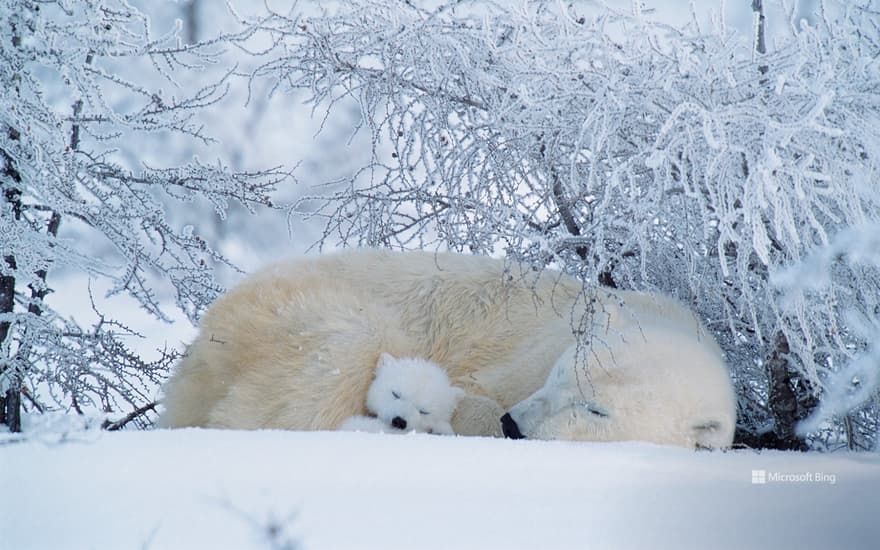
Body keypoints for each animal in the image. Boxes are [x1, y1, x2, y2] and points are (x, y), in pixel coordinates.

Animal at [158, 250, 736, 452]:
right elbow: (470, 391)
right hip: (292, 310)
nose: (514, 425)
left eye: (596, 409)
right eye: (558, 376)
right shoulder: (527, 352)